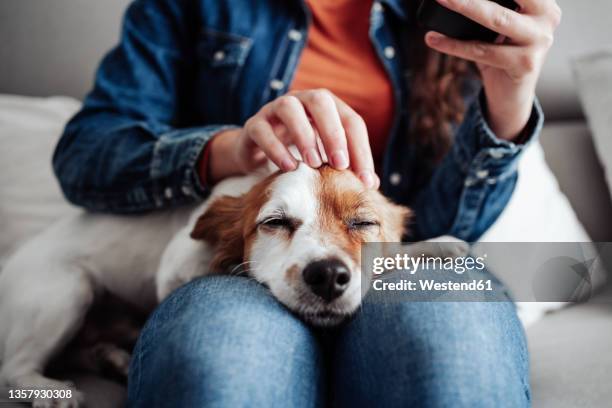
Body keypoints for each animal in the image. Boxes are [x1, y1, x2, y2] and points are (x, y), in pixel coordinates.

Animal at [1, 161, 468, 406]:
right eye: (275, 222)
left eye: (363, 223)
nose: (327, 276)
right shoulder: (174, 267)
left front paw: (436, 244)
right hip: (66, 289)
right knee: (13, 367)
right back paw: (53, 390)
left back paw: (110, 357)